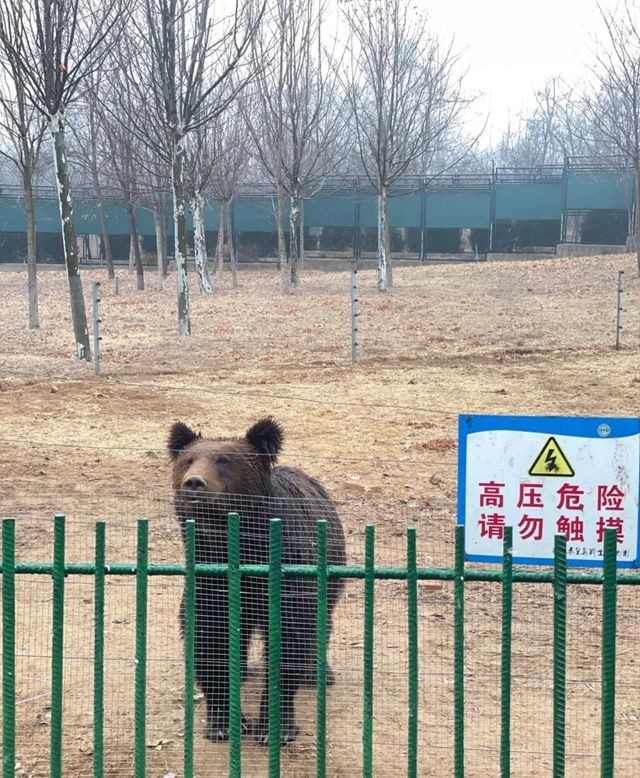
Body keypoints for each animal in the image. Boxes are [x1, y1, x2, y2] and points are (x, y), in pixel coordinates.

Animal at [166, 416, 344, 744]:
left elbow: (290, 640)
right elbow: (210, 640)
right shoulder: (210, 581)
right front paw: (222, 723)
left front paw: (277, 727)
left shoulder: (288, 576)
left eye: (224, 460)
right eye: (188, 460)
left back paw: (318, 673)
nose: (194, 483)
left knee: (322, 622)